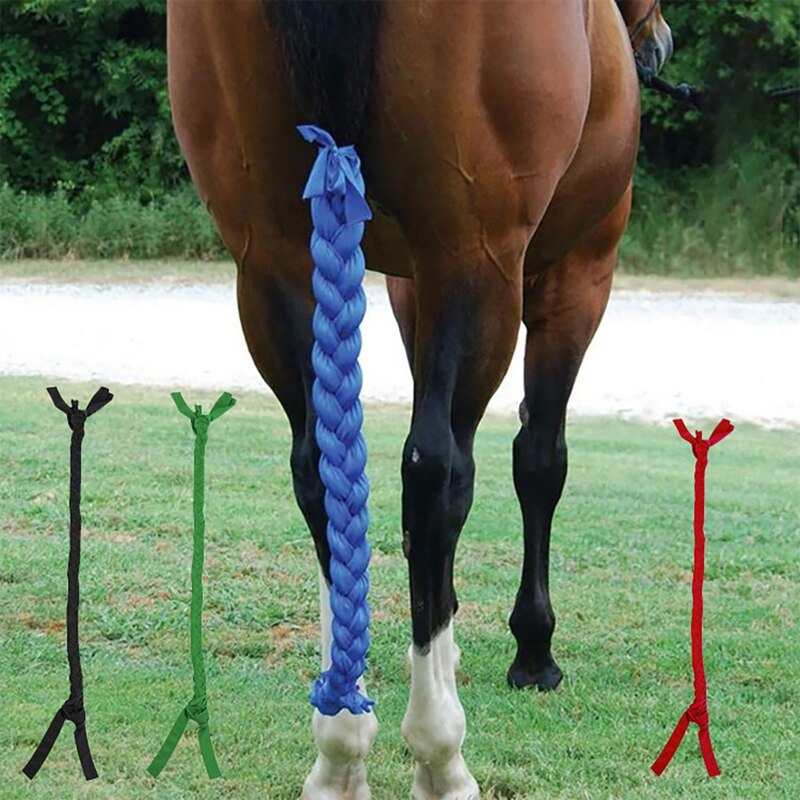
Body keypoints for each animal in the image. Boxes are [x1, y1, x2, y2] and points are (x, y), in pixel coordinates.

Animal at [166, 1, 673, 797]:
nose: (656, 45)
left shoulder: (405, 284)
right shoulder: (578, 272)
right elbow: (539, 460)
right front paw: (533, 649)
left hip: (271, 258)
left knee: (321, 473)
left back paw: (340, 744)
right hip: (476, 256)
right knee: (438, 474)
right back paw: (439, 751)